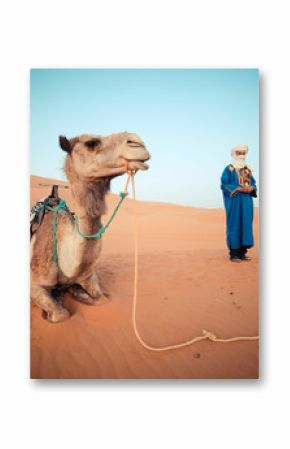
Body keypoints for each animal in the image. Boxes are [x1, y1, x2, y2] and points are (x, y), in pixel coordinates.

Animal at [30, 131, 151, 320]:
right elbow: (61, 314)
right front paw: (60, 298)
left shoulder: (89, 276)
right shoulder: (34, 283)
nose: (137, 142)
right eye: (91, 143)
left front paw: (75, 291)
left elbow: (102, 300)